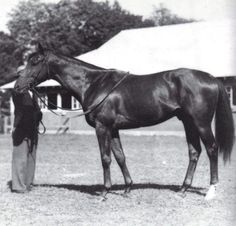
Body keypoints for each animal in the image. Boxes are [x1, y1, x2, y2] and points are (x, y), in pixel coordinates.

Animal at [14, 43, 234, 200]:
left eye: (36, 61)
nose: (17, 86)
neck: (93, 83)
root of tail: (212, 78)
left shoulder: (102, 127)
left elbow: (105, 158)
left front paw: (104, 192)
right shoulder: (113, 129)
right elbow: (120, 157)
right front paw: (128, 188)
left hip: (201, 123)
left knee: (212, 149)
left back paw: (211, 191)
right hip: (188, 122)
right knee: (194, 152)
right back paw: (183, 189)